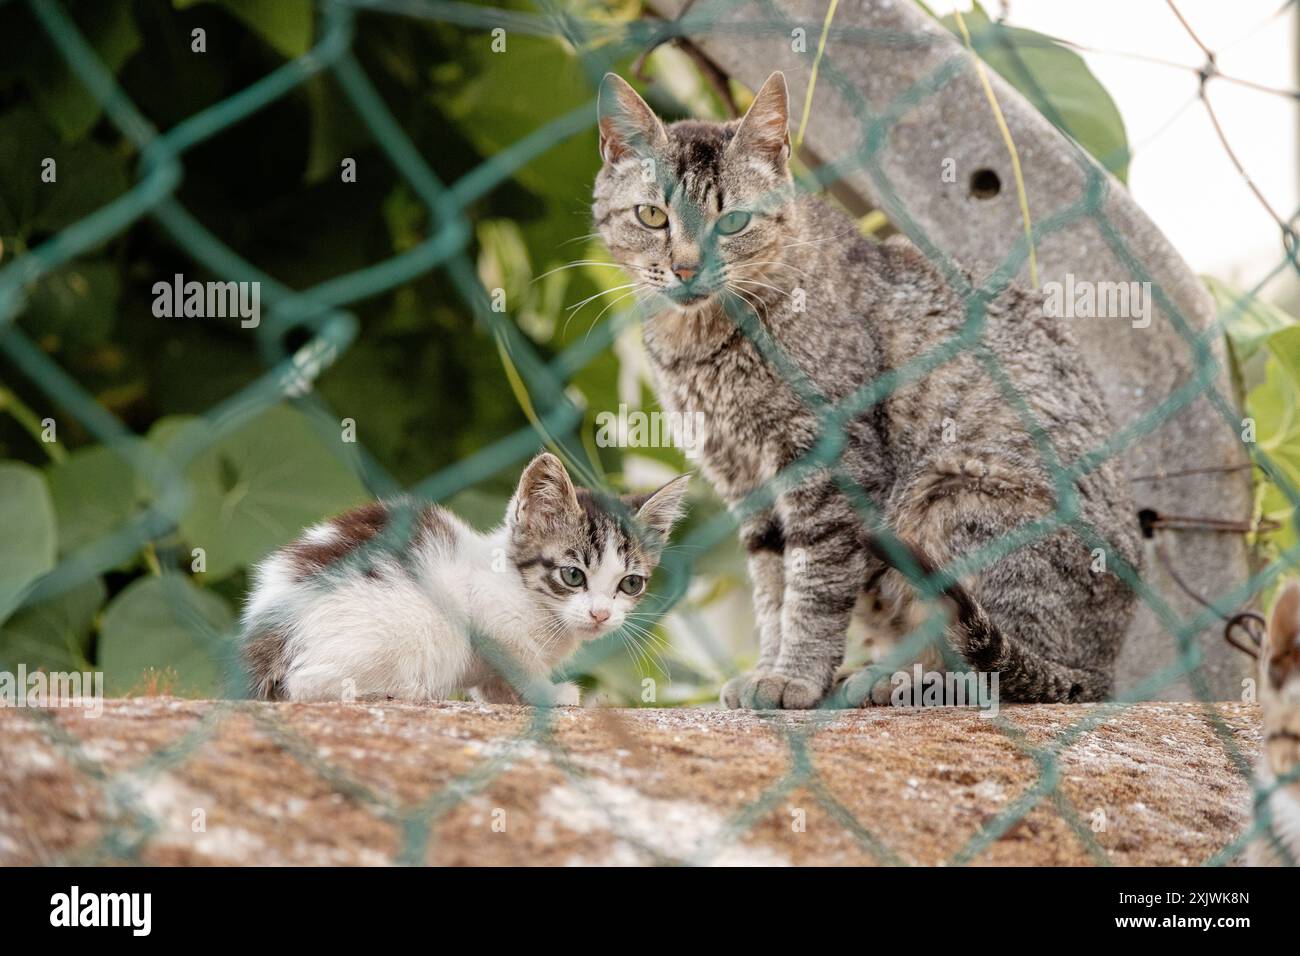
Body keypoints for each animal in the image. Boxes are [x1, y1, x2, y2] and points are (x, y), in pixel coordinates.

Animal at [243, 452, 691, 707]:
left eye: (630, 584)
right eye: (572, 575)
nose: (601, 615)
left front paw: (499, 695)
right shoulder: (490, 614)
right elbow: (519, 659)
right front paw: (548, 694)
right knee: (302, 685)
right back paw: (400, 691)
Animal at [595, 70, 1144, 712]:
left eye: (732, 223)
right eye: (651, 216)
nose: (685, 269)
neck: (702, 342)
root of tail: (1101, 670)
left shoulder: (832, 462)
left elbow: (815, 586)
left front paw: (796, 677)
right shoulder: (745, 480)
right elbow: (773, 588)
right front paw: (769, 668)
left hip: (957, 493)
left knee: (994, 670)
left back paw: (902, 680)